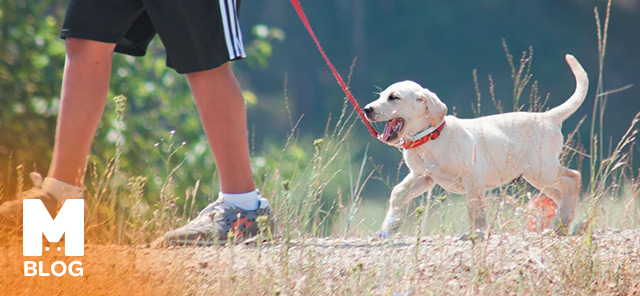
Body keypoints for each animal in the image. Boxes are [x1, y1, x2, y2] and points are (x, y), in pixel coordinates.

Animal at [364, 54, 592, 237]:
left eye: (394, 97)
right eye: (381, 96)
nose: (367, 109)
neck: (429, 139)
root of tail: (548, 116)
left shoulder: (472, 177)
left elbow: (475, 209)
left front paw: (478, 233)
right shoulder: (424, 176)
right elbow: (398, 192)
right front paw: (389, 225)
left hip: (541, 169)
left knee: (573, 177)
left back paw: (562, 222)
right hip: (538, 176)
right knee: (562, 192)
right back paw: (562, 224)